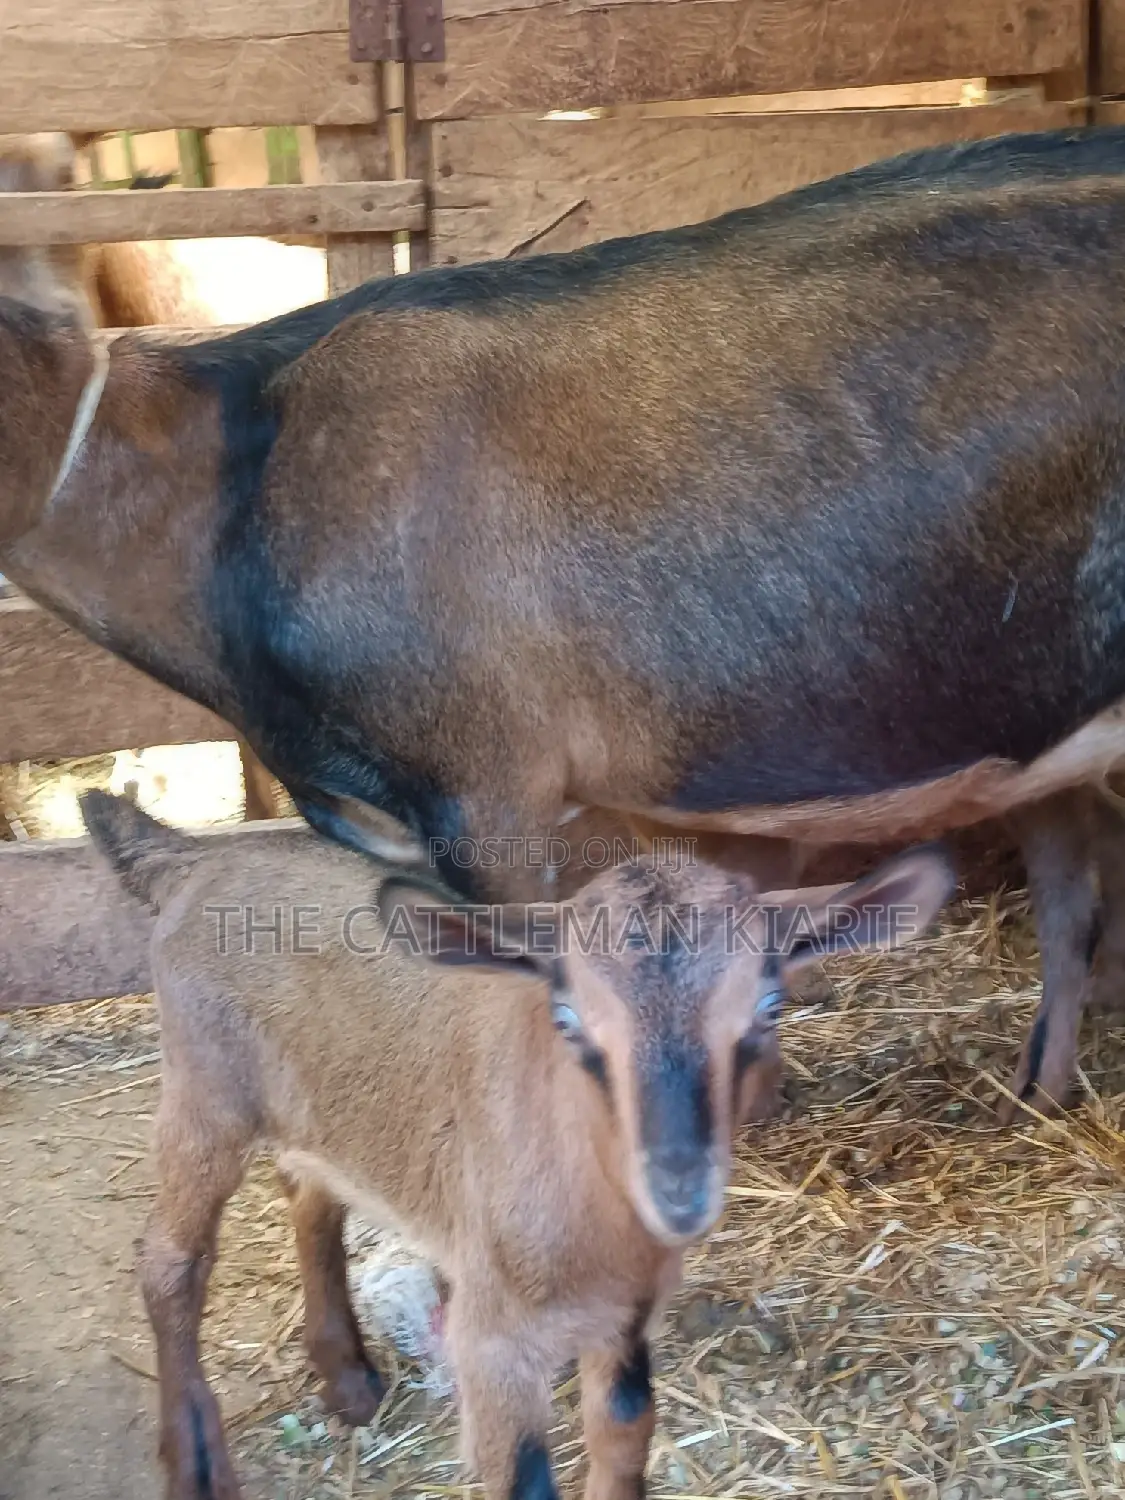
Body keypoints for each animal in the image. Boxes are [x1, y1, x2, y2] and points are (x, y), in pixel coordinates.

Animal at [79, 788, 952, 1500]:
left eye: (767, 1009)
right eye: (567, 1019)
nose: (677, 1190)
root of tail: (197, 856)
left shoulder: (623, 1318)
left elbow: (624, 1434)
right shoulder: (492, 1338)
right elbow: (523, 1475)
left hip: (310, 1104)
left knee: (311, 1195)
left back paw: (349, 1379)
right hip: (204, 1087)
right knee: (170, 1263)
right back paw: (195, 1466)